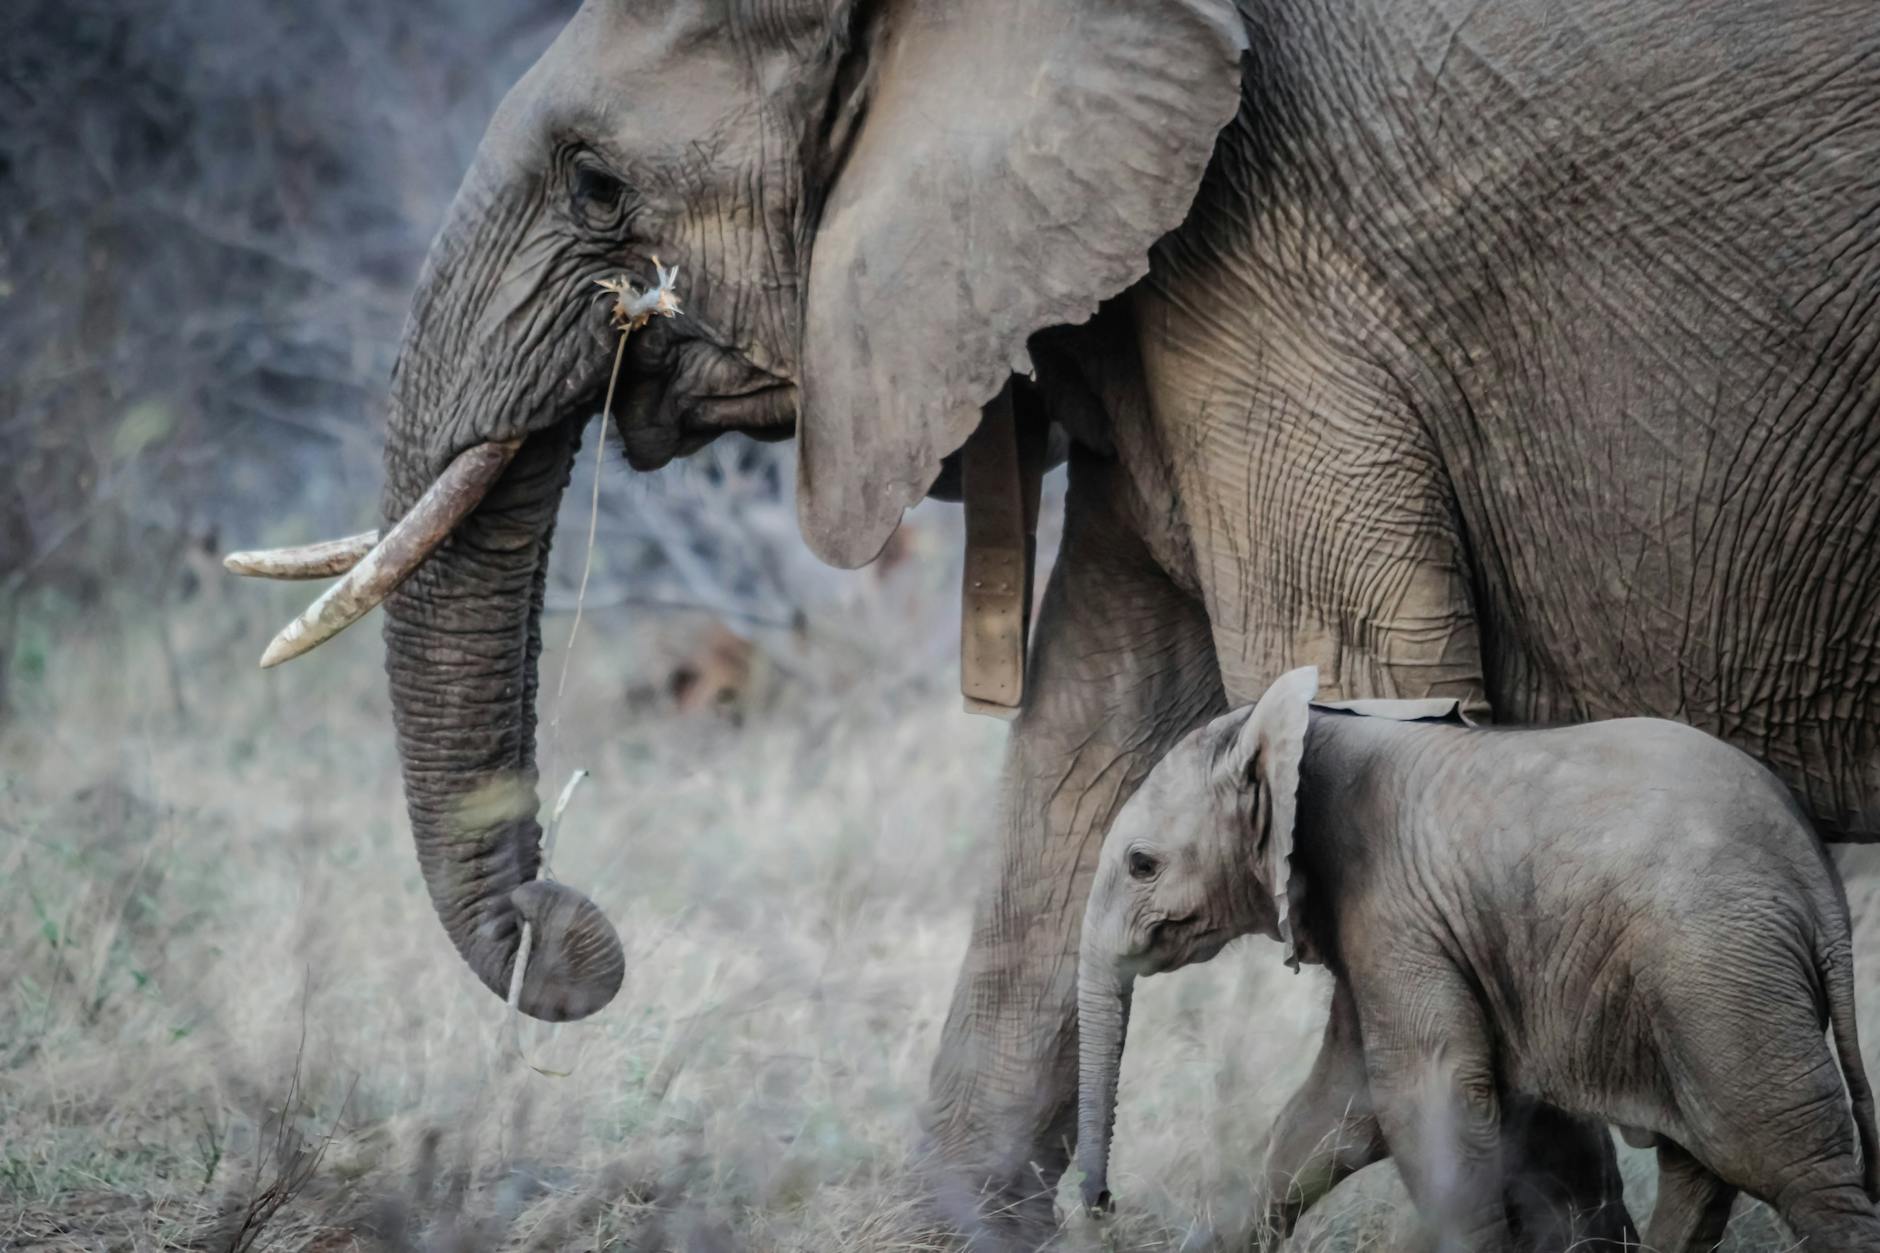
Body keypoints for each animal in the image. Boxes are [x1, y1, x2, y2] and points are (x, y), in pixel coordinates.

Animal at [1076, 666, 1880, 1251]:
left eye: (1143, 865)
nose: (1103, 1205)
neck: (1306, 727)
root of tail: (1816, 880)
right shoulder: (1386, 924)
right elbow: (1336, 1111)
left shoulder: (1395, 907)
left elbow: (1426, 1098)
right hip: (1705, 981)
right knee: (1704, 1165)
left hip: (1717, 972)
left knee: (1788, 1164)